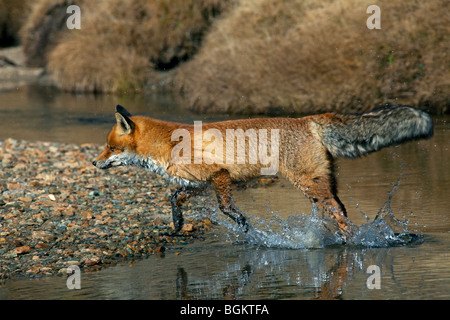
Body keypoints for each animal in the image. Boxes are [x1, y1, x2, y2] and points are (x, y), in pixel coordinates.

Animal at [92, 105, 432, 240]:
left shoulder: (219, 175)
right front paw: (176, 225)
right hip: (322, 183)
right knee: (340, 209)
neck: (168, 144)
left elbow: (225, 207)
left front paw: (242, 223)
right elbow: (174, 197)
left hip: (308, 184)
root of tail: (308, 119)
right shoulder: (196, 183)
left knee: (340, 214)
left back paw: (351, 240)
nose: (94, 163)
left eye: (110, 148)